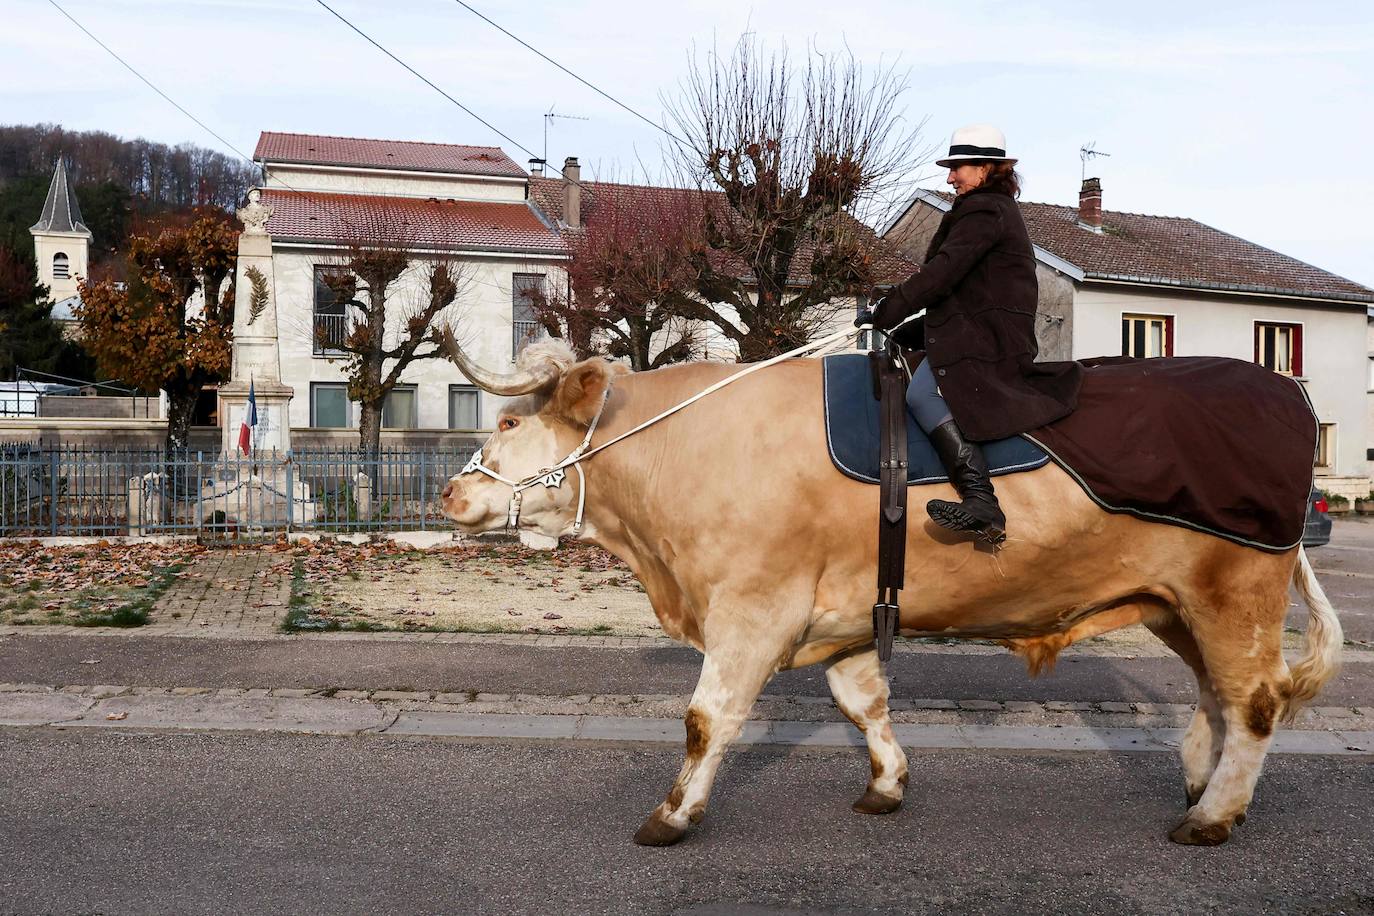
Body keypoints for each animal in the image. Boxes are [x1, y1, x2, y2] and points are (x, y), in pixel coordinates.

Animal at [436, 335, 1341, 845]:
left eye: (508, 422)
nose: (448, 493)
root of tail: (1281, 388)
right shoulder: (838, 614)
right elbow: (861, 701)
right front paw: (886, 785)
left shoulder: (752, 609)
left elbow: (707, 720)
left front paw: (672, 816)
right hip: (1181, 602)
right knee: (1218, 694)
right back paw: (1201, 784)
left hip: (1238, 587)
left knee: (1254, 701)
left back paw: (1210, 818)